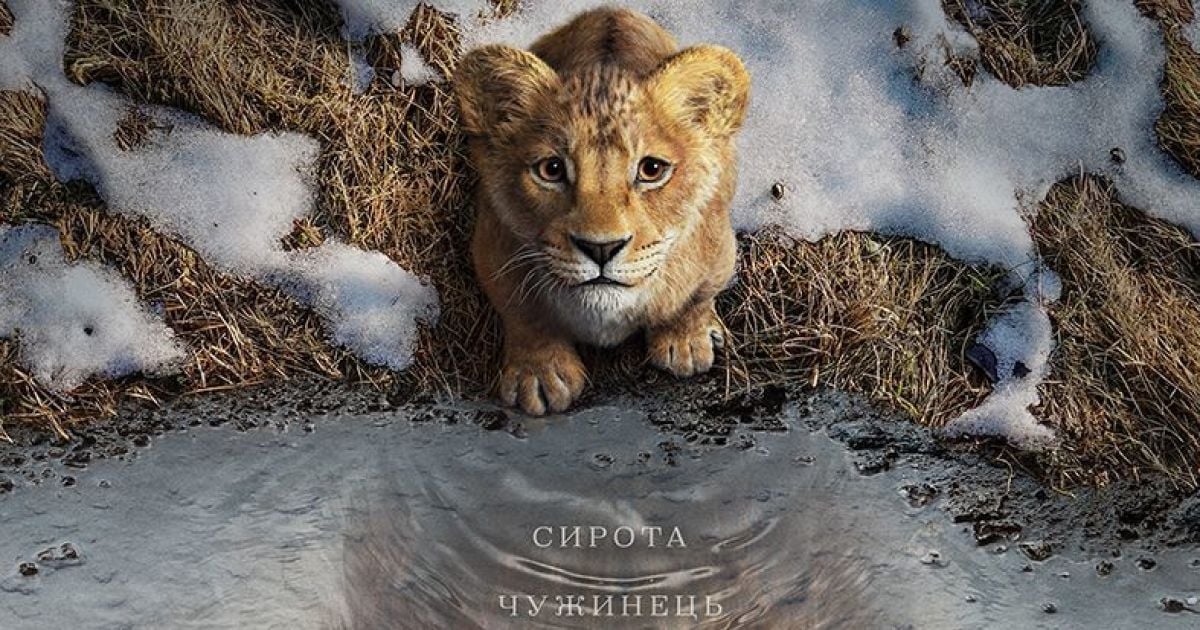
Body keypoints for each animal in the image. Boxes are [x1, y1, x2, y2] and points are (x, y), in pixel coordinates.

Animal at [454, 7, 750, 415]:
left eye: (651, 169)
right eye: (551, 169)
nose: (601, 248)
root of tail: (611, 10)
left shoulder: (718, 249)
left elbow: (695, 297)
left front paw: (686, 342)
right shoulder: (492, 248)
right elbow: (523, 313)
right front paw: (540, 374)